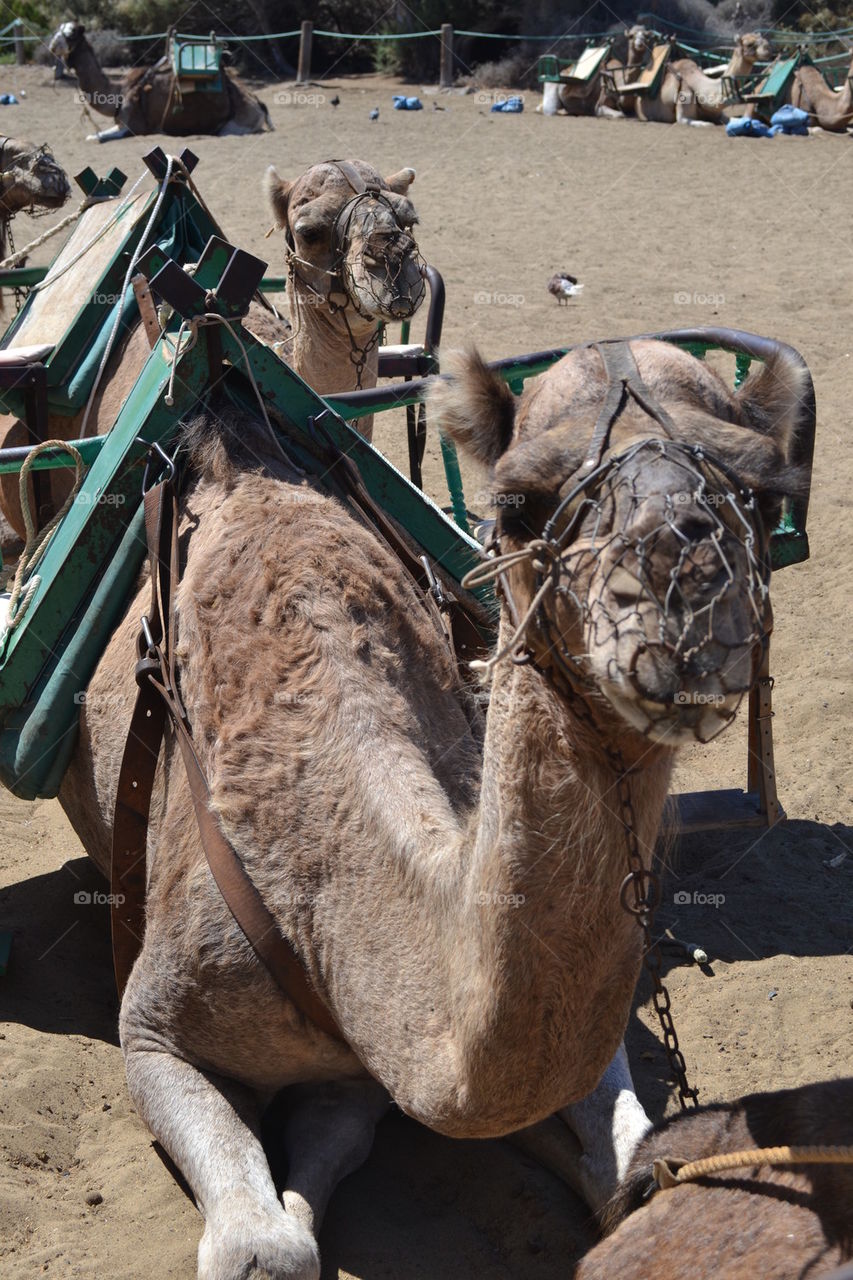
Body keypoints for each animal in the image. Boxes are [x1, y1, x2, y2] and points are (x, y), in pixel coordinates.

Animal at [32, 329, 807, 1278]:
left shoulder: (366, 1060)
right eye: (516, 500)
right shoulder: (153, 1030)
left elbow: (628, 1159)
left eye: (763, 491)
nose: (686, 597)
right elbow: (264, 1247)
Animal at [48, 23, 271, 143]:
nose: (52, 45)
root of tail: (258, 103)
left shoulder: (133, 127)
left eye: (71, 34)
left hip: (235, 125)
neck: (120, 91)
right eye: (59, 29)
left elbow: (95, 137)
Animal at [636, 33, 773, 125]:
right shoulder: (683, 111)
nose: (768, 49)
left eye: (764, 40)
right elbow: (703, 123)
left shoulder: (720, 115)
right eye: (749, 44)